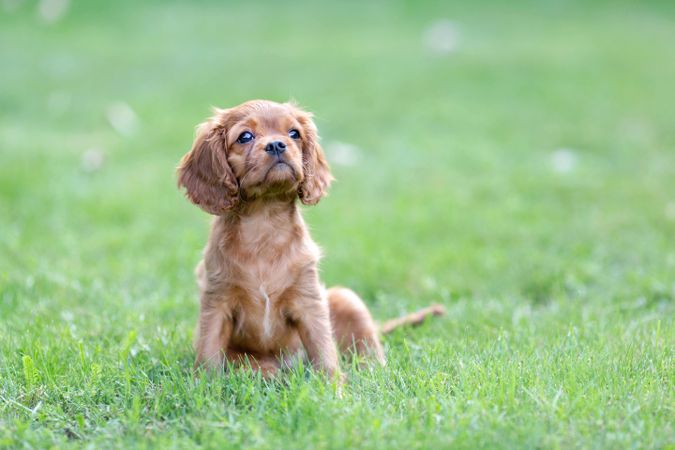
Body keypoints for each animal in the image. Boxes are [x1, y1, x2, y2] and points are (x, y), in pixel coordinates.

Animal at [177, 100, 446, 378]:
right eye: (245, 137)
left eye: (294, 133)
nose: (277, 144)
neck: (264, 223)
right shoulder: (216, 300)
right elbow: (209, 350)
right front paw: (206, 384)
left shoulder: (309, 301)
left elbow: (324, 348)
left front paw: (334, 386)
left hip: (346, 299)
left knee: (367, 348)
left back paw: (372, 372)